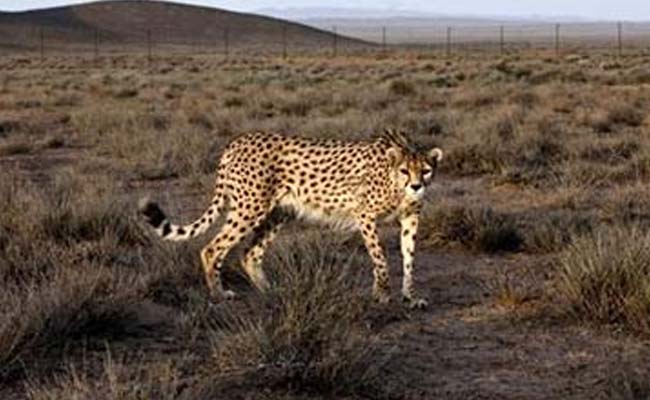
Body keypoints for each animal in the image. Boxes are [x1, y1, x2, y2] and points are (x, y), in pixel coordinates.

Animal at [139, 130, 442, 308]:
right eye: (405, 171)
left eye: (426, 170)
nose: (417, 186)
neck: (396, 185)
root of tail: (236, 141)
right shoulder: (365, 216)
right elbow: (380, 257)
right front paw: (382, 293)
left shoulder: (411, 218)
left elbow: (409, 257)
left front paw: (410, 296)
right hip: (250, 207)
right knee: (212, 248)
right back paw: (219, 294)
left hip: (278, 212)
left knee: (250, 253)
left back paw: (271, 290)